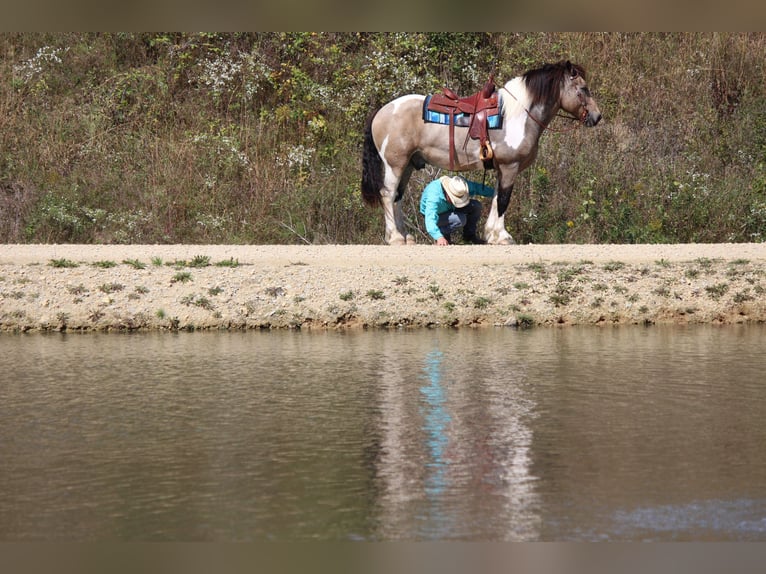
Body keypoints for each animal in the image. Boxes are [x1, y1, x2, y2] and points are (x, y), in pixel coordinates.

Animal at [364, 60, 604, 245]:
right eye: (583, 89)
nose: (597, 116)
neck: (519, 116)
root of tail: (382, 110)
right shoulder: (510, 167)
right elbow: (504, 200)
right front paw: (503, 237)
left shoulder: (503, 169)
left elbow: (497, 197)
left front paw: (491, 234)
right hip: (395, 165)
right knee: (387, 194)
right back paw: (395, 237)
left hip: (407, 165)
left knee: (397, 197)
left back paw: (406, 237)